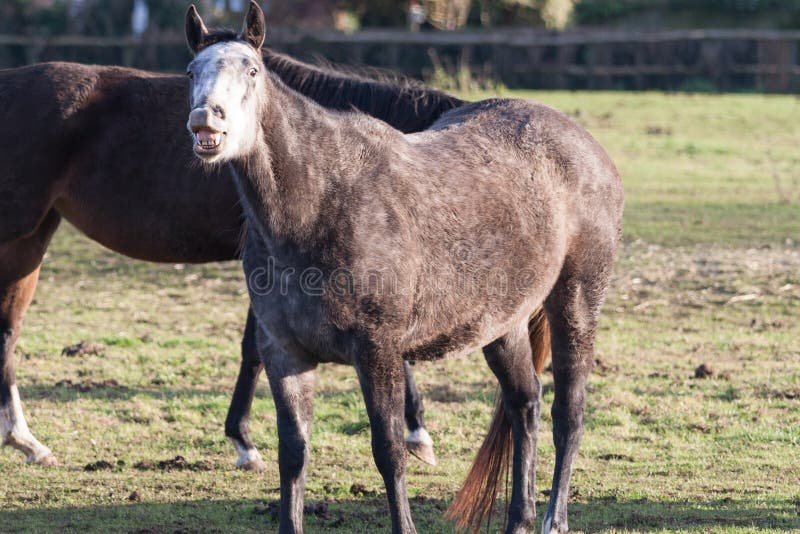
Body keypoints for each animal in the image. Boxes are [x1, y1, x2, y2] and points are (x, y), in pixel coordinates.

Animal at [184, 3, 624, 533]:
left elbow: (388, 449)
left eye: (251, 71)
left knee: (568, 413)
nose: (205, 121)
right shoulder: (285, 353)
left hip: (576, 301)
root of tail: (586, 145)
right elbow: (294, 453)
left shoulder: (377, 349)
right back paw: (519, 517)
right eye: (191, 73)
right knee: (526, 406)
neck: (319, 203)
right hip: (503, 324)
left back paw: (553, 518)